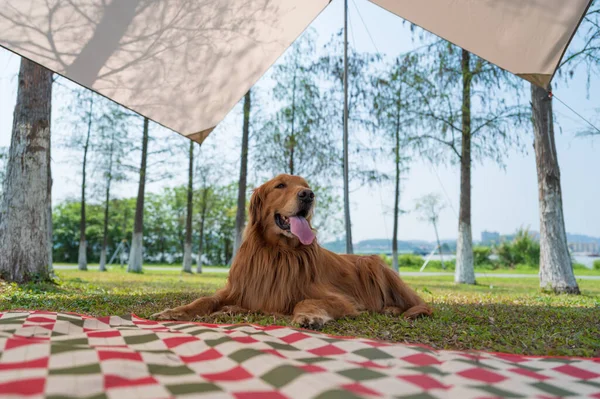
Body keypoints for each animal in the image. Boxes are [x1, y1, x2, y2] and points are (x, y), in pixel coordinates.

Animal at [151, 174, 432, 328]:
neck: (278, 252)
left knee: (420, 304)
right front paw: (175, 311)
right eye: (280, 185)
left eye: (305, 185)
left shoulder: (340, 299)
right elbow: (205, 300)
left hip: (372, 263)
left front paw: (308, 316)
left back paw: (393, 309)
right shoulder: (239, 288)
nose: (308, 195)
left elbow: (304, 300)